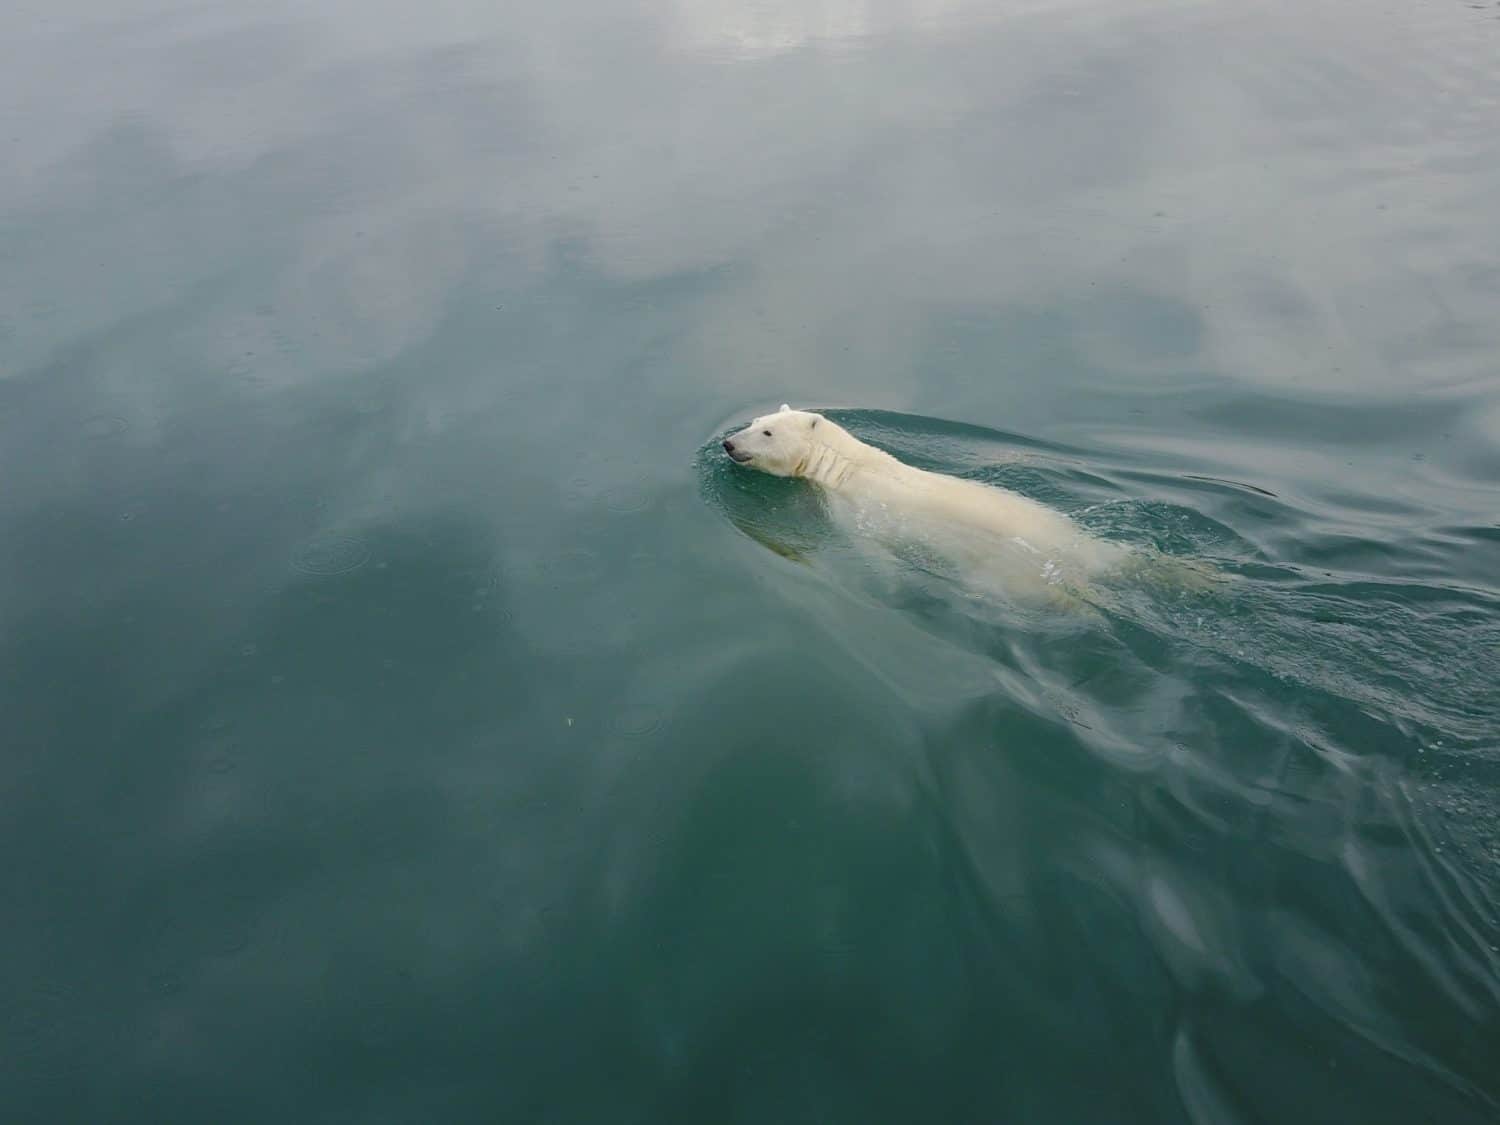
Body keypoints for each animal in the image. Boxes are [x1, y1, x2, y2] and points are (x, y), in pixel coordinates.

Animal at [722, 405, 1132, 596]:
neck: (848, 464)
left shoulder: (858, 511)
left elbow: (874, 553)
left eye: (767, 432)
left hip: (1012, 571)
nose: (728, 443)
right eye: (754, 422)